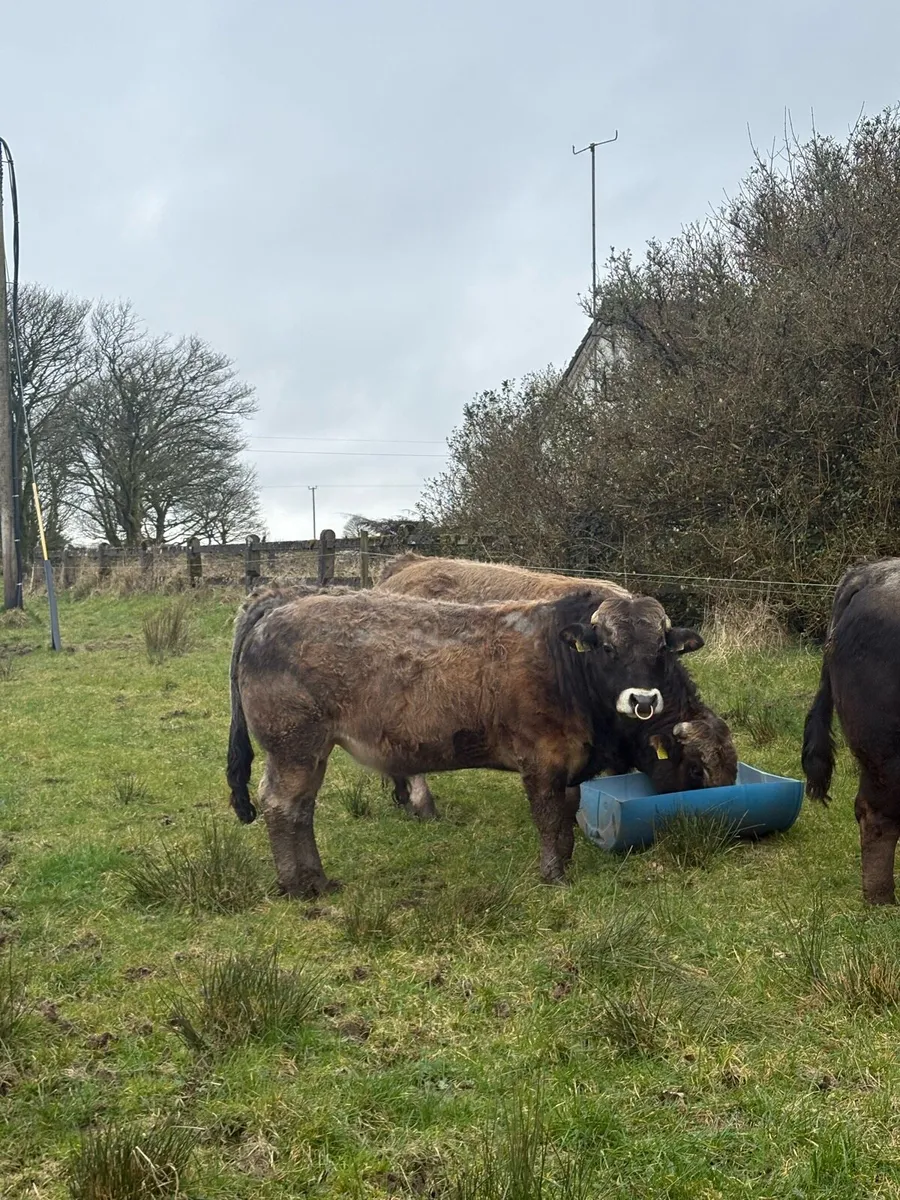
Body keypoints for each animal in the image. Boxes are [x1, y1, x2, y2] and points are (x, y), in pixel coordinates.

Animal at [226, 584, 709, 896]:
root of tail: (279, 606)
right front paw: (554, 875)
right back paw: (301, 884)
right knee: (282, 805)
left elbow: (567, 815)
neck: (566, 666)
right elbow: (549, 818)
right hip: (294, 747)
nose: (643, 698)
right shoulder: (542, 760)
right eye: (608, 648)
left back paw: (313, 878)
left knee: (302, 808)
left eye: (661, 648)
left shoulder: (570, 762)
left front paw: (566, 862)